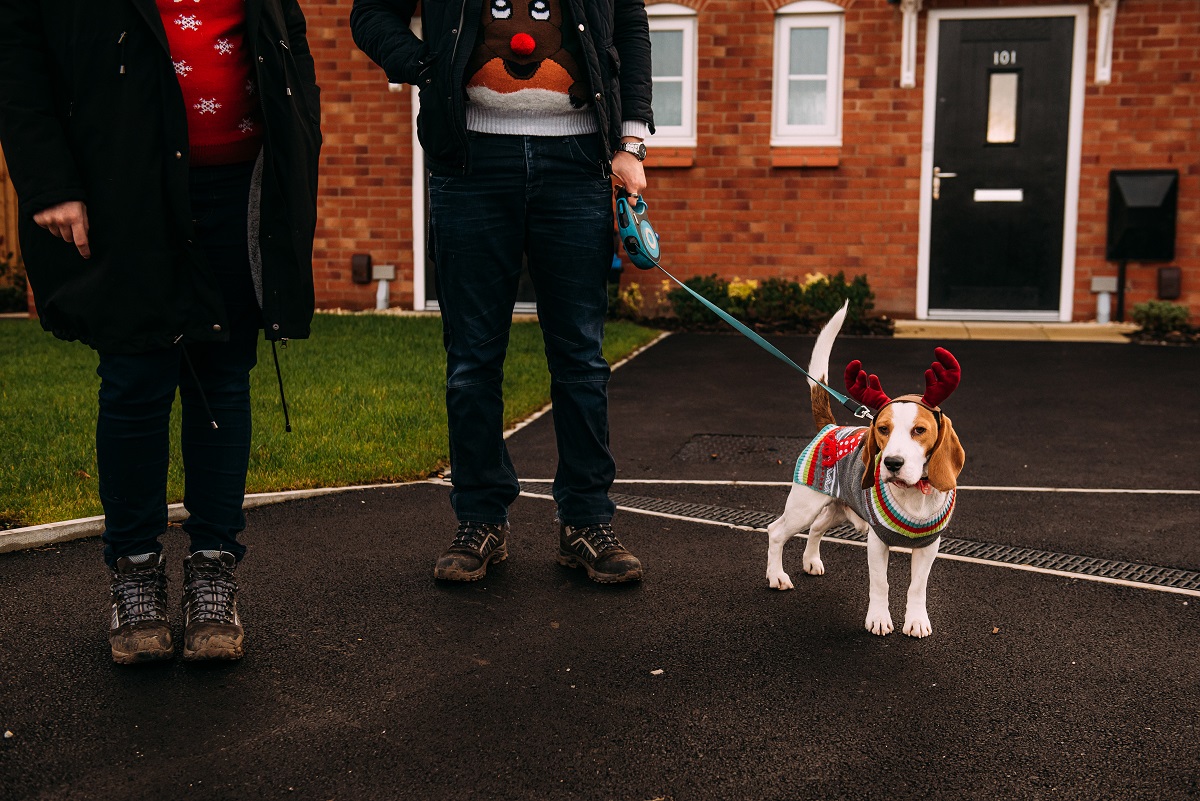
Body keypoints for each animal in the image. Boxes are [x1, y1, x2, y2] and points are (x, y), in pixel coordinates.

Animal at [763, 302, 969, 637]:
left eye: (920, 430)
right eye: (883, 429)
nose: (892, 463)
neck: (914, 494)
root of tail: (831, 427)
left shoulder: (929, 547)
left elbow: (917, 587)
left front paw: (916, 620)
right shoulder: (877, 542)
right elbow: (880, 584)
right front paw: (879, 619)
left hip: (836, 508)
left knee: (816, 529)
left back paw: (811, 561)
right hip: (803, 507)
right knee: (777, 531)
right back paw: (776, 576)